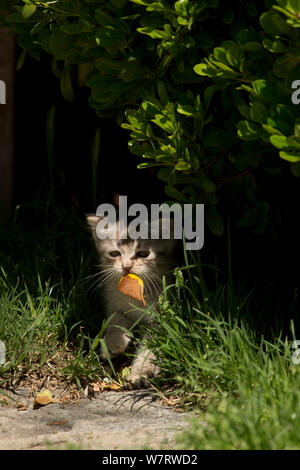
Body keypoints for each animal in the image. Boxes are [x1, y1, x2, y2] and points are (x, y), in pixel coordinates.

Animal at [86, 215, 178, 388]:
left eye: (143, 254)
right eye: (114, 253)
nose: (126, 266)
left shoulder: (161, 322)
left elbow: (150, 348)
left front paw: (141, 373)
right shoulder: (111, 301)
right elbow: (115, 318)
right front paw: (113, 343)